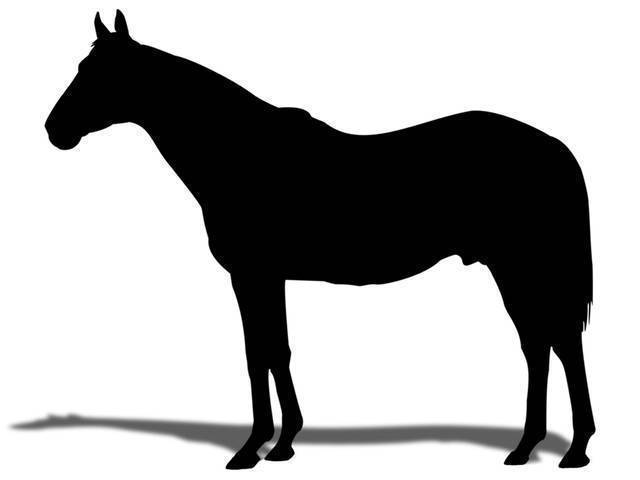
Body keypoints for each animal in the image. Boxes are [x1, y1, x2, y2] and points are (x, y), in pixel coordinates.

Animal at [45, 11, 595, 469]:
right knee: (539, 343)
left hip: (520, 264)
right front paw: (283, 442)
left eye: (101, 73)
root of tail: (552, 147)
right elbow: (274, 350)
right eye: (82, 66)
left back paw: (574, 450)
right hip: (513, 268)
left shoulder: (252, 274)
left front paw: (253, 449)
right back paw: (528, 447)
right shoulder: (267, 277)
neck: (240, 153)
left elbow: (260, 353)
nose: (54, 130)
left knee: (558, 341)